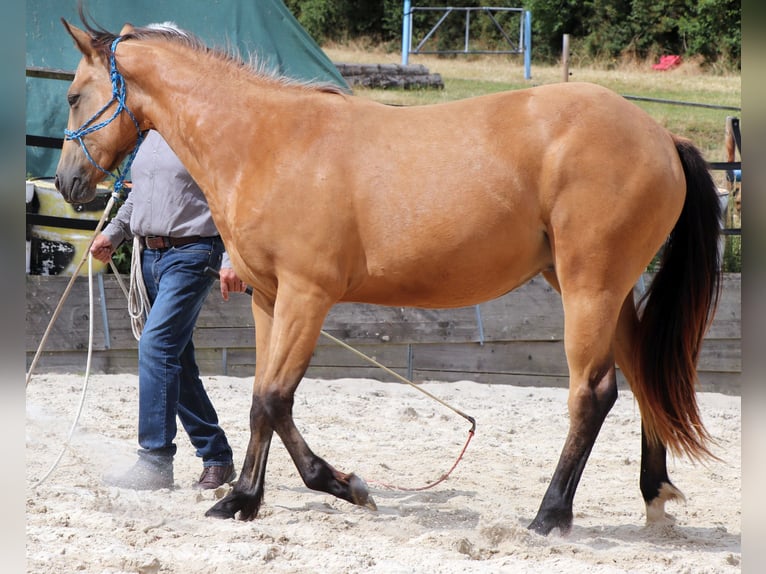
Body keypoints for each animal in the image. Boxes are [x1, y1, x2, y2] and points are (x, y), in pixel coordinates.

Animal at [54, 12, 722, 536]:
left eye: (73, 95)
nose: (68, 183)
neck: (265, 142)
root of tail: (662, 135)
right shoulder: (268, 299)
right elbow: (261, 402)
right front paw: (253, 497)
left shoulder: (307, 296)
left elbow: (273, 399)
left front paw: (331, 487)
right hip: (596, 287)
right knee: (642, 373)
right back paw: (654, 495)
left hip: (590, 287)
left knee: (594, 393)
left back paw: (549, 516)